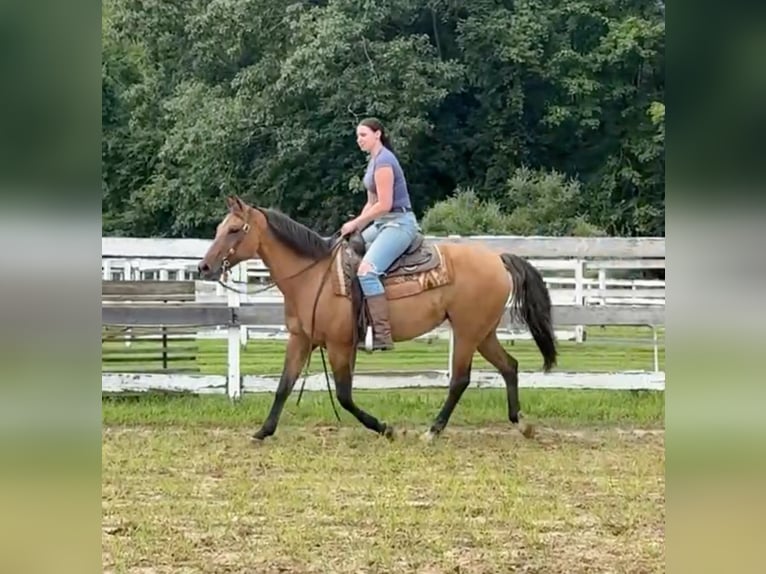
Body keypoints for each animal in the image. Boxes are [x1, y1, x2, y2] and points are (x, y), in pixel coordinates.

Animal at [198, 196, 560, 444]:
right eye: (219, 228)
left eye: (234, 229)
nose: (204, 267)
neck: (313, 276)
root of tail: (497, 258)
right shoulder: (301, 340)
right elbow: (283, 387)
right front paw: (263, 431)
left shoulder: (340, 345)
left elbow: (344, 396)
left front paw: (385, 428)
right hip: (483, 332)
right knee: (509, 366)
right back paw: (522, 424)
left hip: (468, 332)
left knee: (460, 379)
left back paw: (433, 431)